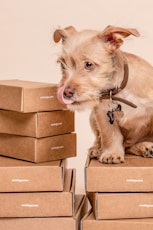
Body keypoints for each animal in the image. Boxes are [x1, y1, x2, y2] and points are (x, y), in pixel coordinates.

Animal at [53, 25, 153, 164]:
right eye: (62, 64)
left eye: (88, 64)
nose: (65, 93)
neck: (119, 92)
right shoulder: (102, 114)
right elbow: (110, 135)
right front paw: (111, 153)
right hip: (92, 118)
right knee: (107, 142)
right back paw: (97, 150)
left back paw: (145, 146)